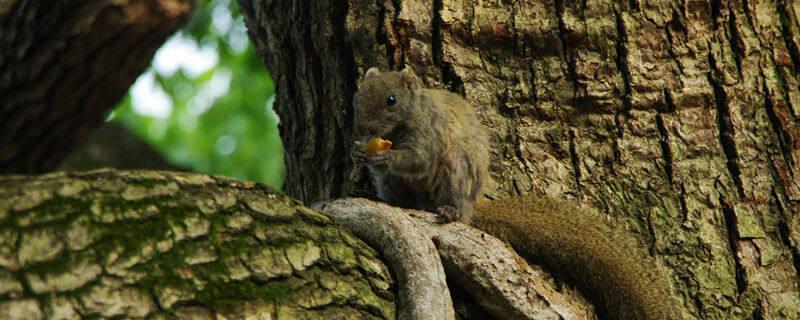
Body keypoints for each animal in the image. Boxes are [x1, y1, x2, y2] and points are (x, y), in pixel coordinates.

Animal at [354, 67, 684, 320]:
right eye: (358, 96)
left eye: (391, 100)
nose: (363, 128)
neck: (401, 128)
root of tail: (472, 206)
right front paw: (358, 153)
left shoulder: (429, 133)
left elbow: (418, 159)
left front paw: (385, 157)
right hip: (399, 187)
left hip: (456, 170)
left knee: (454, 199)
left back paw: (451, 211)